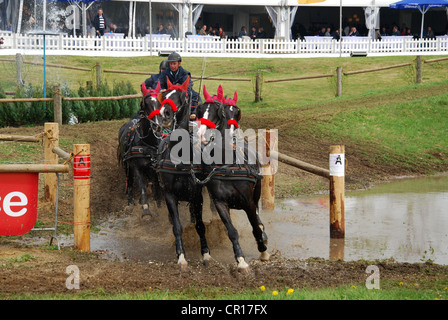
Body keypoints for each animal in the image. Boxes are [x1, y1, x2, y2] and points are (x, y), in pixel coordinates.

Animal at [117, 82, 163, 218]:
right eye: (145, 104)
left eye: (159, 103)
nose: (157, 126)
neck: (148, 143)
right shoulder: (137, 167)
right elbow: (142, 186)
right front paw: (146, 209)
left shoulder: (155, 168)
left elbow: (157, 186)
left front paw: (158, 205)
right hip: (127, 166)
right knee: (130, 182)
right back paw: (130, 203)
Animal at [155, 76, 211, 268]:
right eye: (165, 95)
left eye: (182, 96)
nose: (165, 113)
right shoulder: (170, 195)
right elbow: (177, 226)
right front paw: (181, 256)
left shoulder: (197, 196)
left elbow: (200, 226)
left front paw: (205, 253)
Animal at [193, 85, 270, 272]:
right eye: (200, 110)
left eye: (217, 111)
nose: (201, 135)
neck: (227, 166)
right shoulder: (220, 202)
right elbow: (232, 231)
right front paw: (240, 260)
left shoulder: (249, 202)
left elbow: (255, 228)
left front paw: (263, 251)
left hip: (256, 192)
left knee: (257, 219)